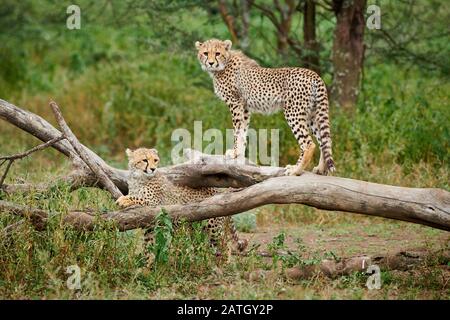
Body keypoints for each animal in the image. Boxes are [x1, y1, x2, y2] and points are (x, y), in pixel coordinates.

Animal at [115, 148, 246, 255]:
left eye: (155, 160)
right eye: (144, 160)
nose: (153, 169)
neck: (138, 178)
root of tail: (219, 191)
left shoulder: (154, 203)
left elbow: (138, 198)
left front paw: (123, 200)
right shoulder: (150, 225)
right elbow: (148, 246)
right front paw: (147, 266)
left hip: (212, 226)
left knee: (225, 246)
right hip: (196, 228)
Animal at [195, 38, 336, 176]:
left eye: (217, 53)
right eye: (206, 53)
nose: (211, 63)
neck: (224, 64)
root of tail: (314, 74)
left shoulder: (235, 103)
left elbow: (237, 130)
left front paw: (234, 152)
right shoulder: (245, 108)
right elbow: (243, 130)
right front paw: (239, 153)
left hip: (293, 112)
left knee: (309, 144)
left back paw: (296, 170)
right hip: (312, 113)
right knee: (325, 140)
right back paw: (320, 169)